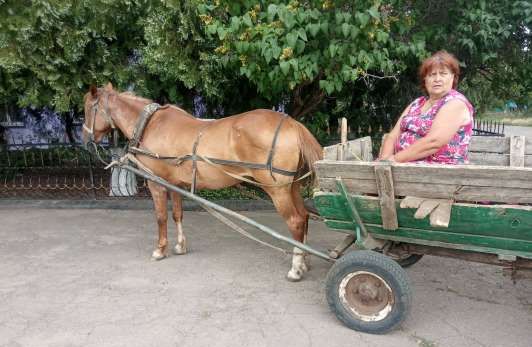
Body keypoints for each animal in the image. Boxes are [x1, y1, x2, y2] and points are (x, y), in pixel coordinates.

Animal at [82, 84, 324, 282]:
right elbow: (177, 214)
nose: (85, 140)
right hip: (292, 187)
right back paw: (304, 260)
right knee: (304, 217)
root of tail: (292, 124)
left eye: (87, 109)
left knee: (295, 222)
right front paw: (180, 245)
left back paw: (295, 268)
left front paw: (160, 249)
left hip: (278, 191)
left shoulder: (156, 183)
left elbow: (161, 217)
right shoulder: (176, 184)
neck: (151, 125)